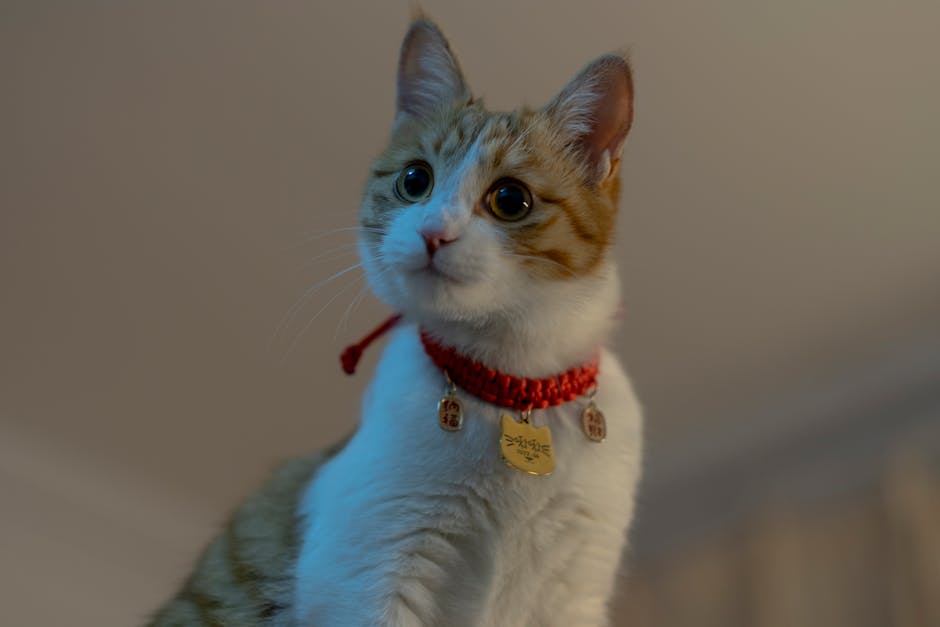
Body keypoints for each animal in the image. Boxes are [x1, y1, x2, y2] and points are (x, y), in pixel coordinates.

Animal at [147, 14, 644, 627]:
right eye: (414, 180)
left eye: (510, 199)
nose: (434, 232)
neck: (511, 386)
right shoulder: (370, 568)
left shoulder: (573, 594)